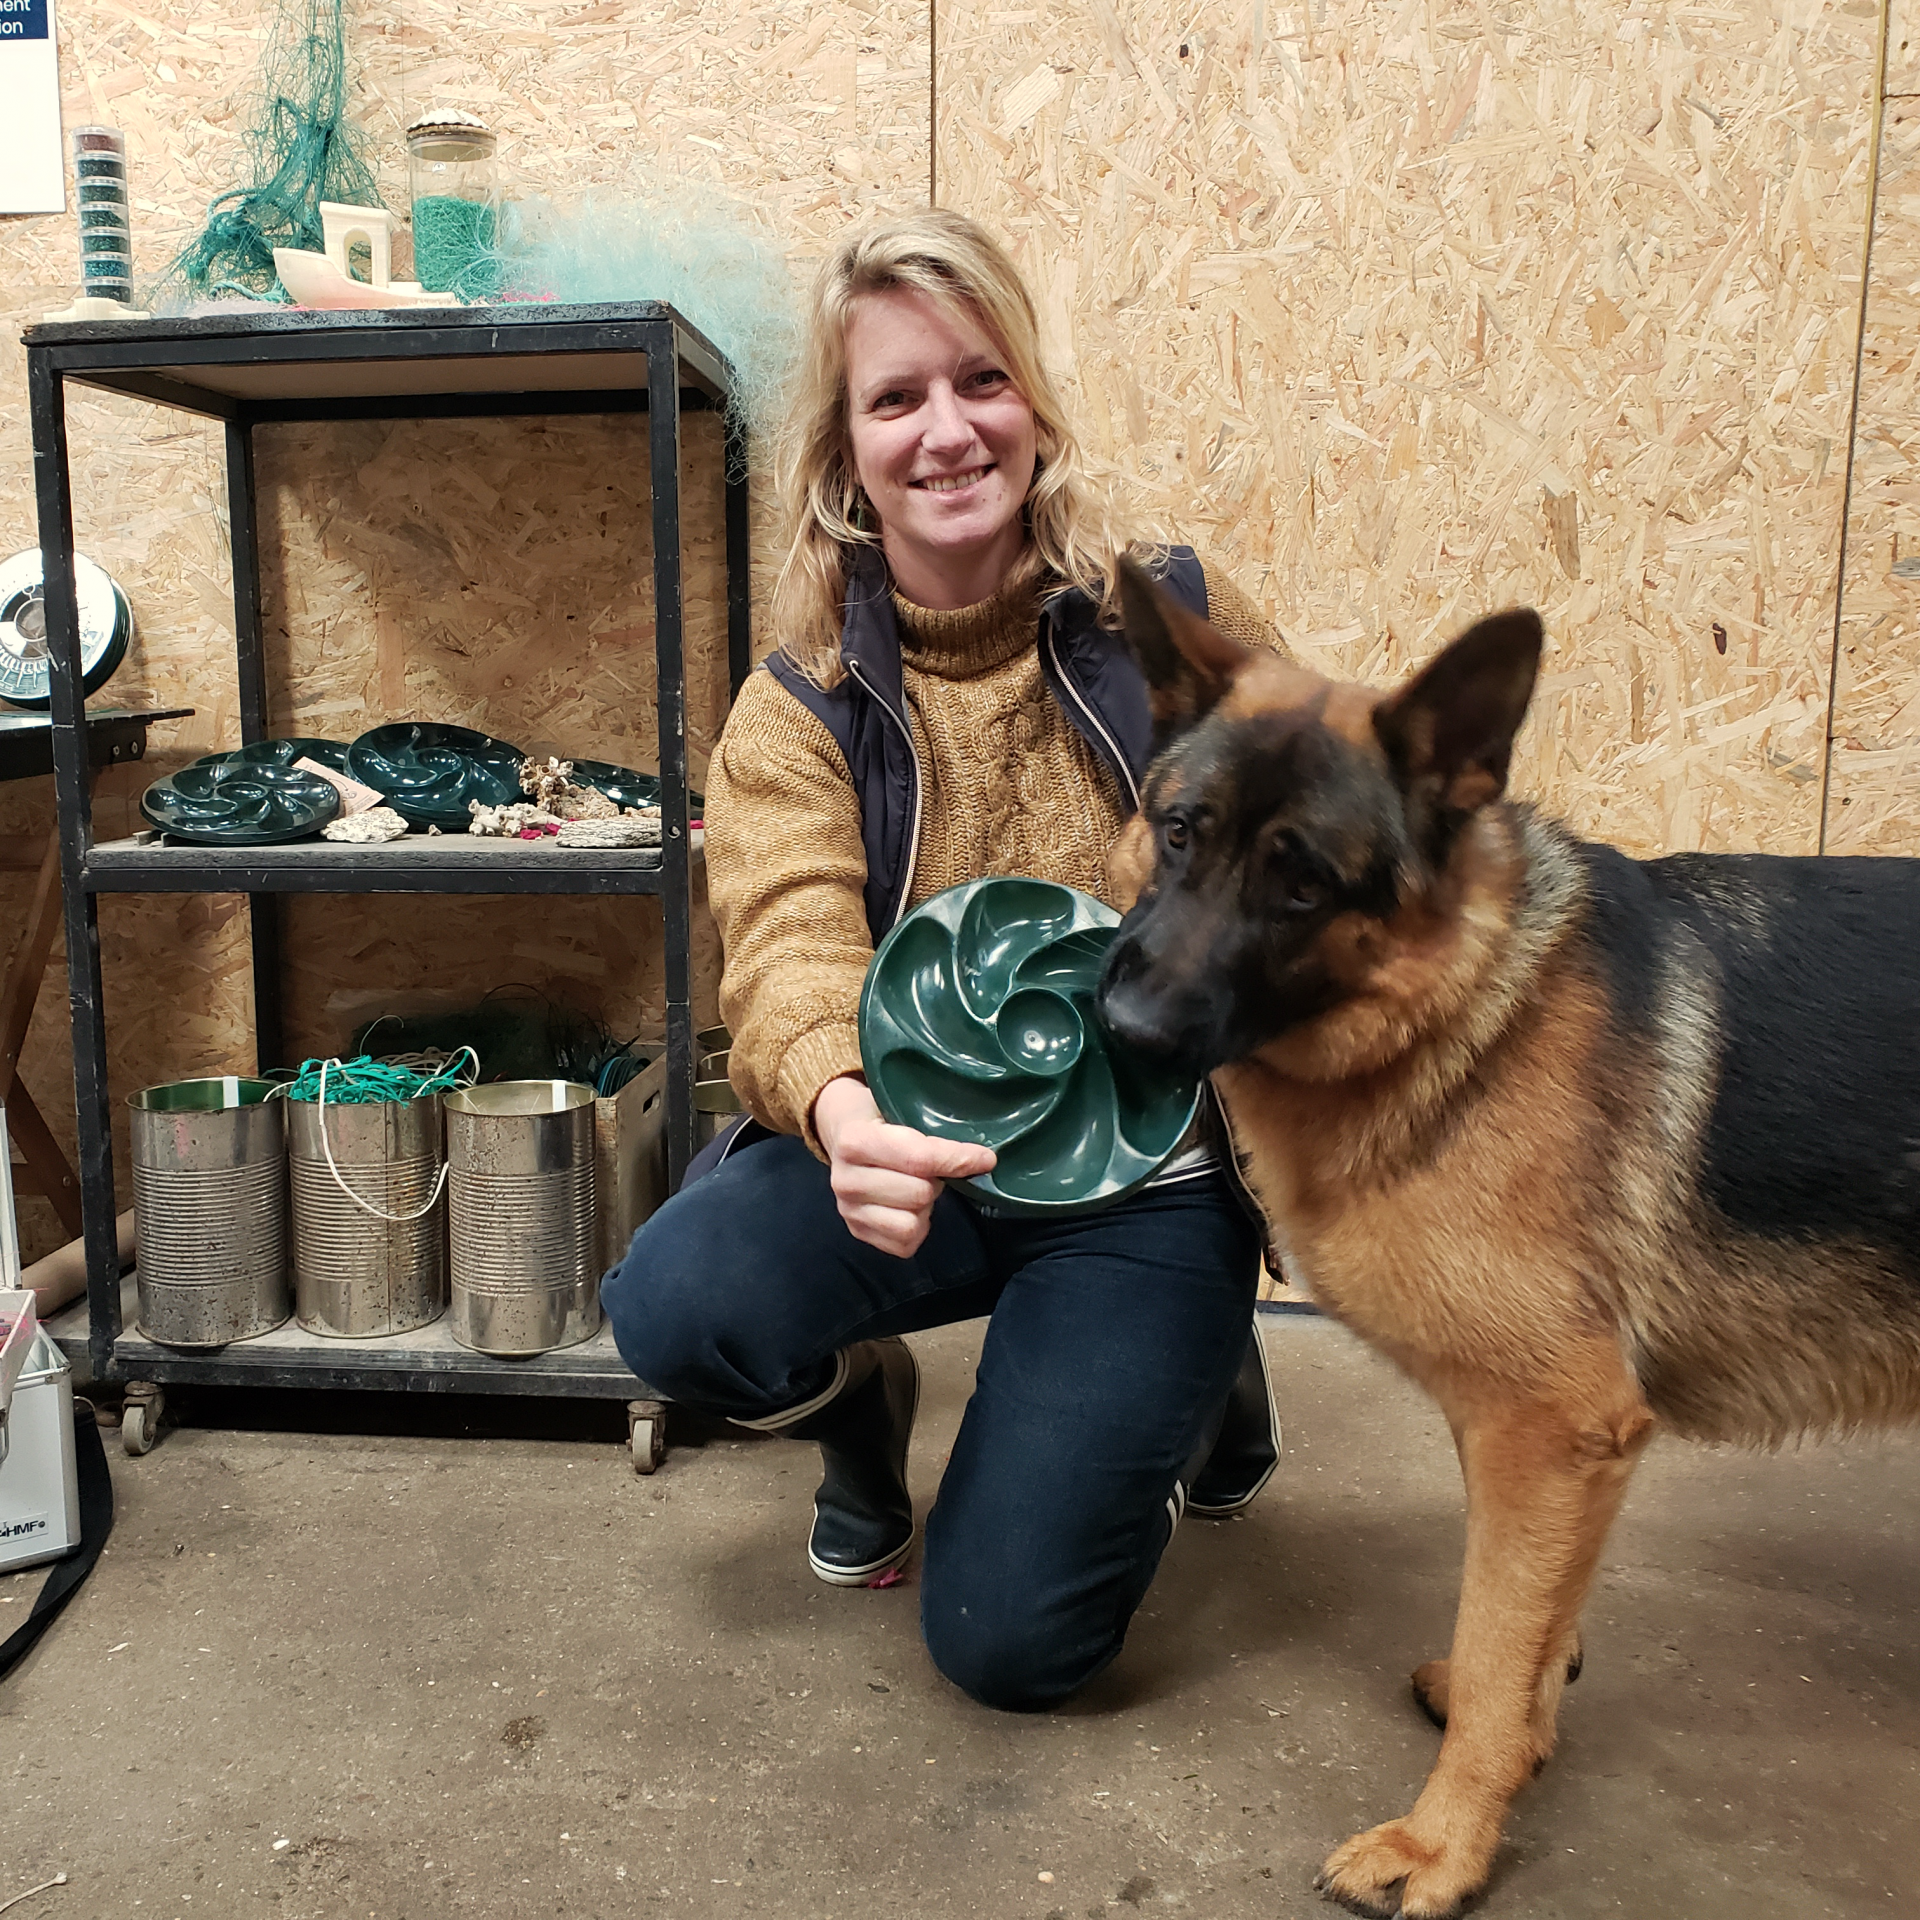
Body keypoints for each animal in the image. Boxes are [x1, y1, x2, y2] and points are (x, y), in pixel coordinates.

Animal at [1105, 556, 1920, 1920]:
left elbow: (1498, 1644)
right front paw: (1528, 1747)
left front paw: (1445, 1846)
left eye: (1304, 882)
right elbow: (1536, 1627)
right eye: (1181, 833)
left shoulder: (1547, 1430)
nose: (1122, 1034)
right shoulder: (1578, 1446)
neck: (1475, 1002)